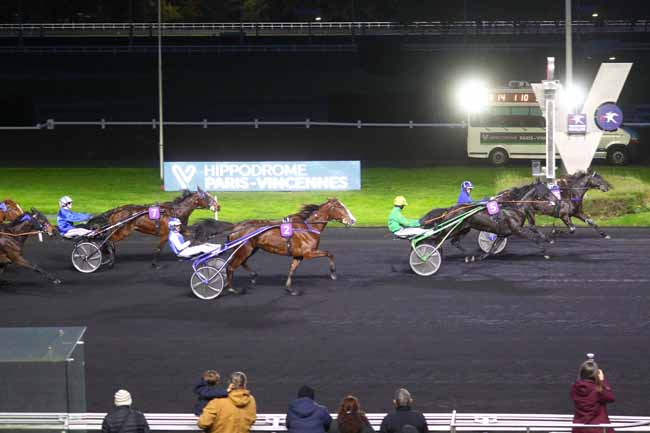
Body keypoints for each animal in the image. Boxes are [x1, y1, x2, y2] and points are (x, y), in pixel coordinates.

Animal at [87, 188, 219, 268]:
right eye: (208, 198)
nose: (218, 206)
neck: (175, 211)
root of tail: (116, 210)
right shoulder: (165, 234)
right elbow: (158, 249)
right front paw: (155, 264)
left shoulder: (182, 229)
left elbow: (193, 235)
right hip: (123, 231)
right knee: (108, 240)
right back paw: (106, 257)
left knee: (109, 241)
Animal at [223, 197, 354, 296]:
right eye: (341, 207)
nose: (353, 220)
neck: (308, 227)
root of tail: (236, 227)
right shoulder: (308, 253)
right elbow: (329, 253)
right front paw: (333, 273)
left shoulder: (298, 255)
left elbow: (292, 270)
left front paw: (290, 289)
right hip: (245, 249)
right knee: (231, 267)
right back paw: (232, 289)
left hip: (251, 249)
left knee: (241, 262)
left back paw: (251, 276)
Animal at [420, 180, 556, 260]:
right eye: (546, 190)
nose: (556, 200)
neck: (514, 207)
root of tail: (449, 210)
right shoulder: (517, 230)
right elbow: (534, 238)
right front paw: (545, 252)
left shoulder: (503, 234)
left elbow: (492, 248)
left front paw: (481, 256)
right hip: (451, 229)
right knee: (437, 239)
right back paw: (431, 254)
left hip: (463, 229)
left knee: (454, 242)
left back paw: (469, 255)